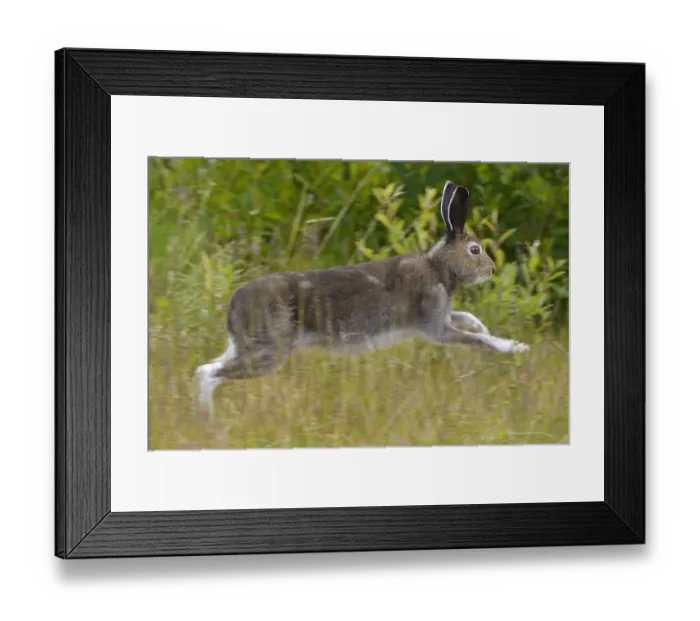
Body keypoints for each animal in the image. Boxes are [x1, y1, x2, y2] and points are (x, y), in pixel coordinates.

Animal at [195, 180, 529, 415]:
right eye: (475, 250)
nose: (492, 269)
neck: (439, 267)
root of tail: (233, 309)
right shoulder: (435, 326)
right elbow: (477, 340)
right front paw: (515, 346)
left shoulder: (443, 316)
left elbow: (469, 319)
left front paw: (491, 330)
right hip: (268, 351)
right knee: (207, 373)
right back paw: (207, 420)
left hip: (249, 347)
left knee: (209, 368)